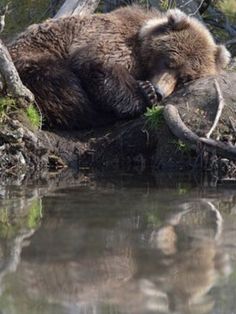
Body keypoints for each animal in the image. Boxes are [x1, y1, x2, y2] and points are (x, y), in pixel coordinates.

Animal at [7, 4, 230, 129]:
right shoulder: (112, 40)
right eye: (168, 61)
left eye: (185, 77)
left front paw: (148, 91)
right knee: (61, 87)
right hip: (33, 57)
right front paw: (145, 93)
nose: (159, 91)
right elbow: (97, 65)